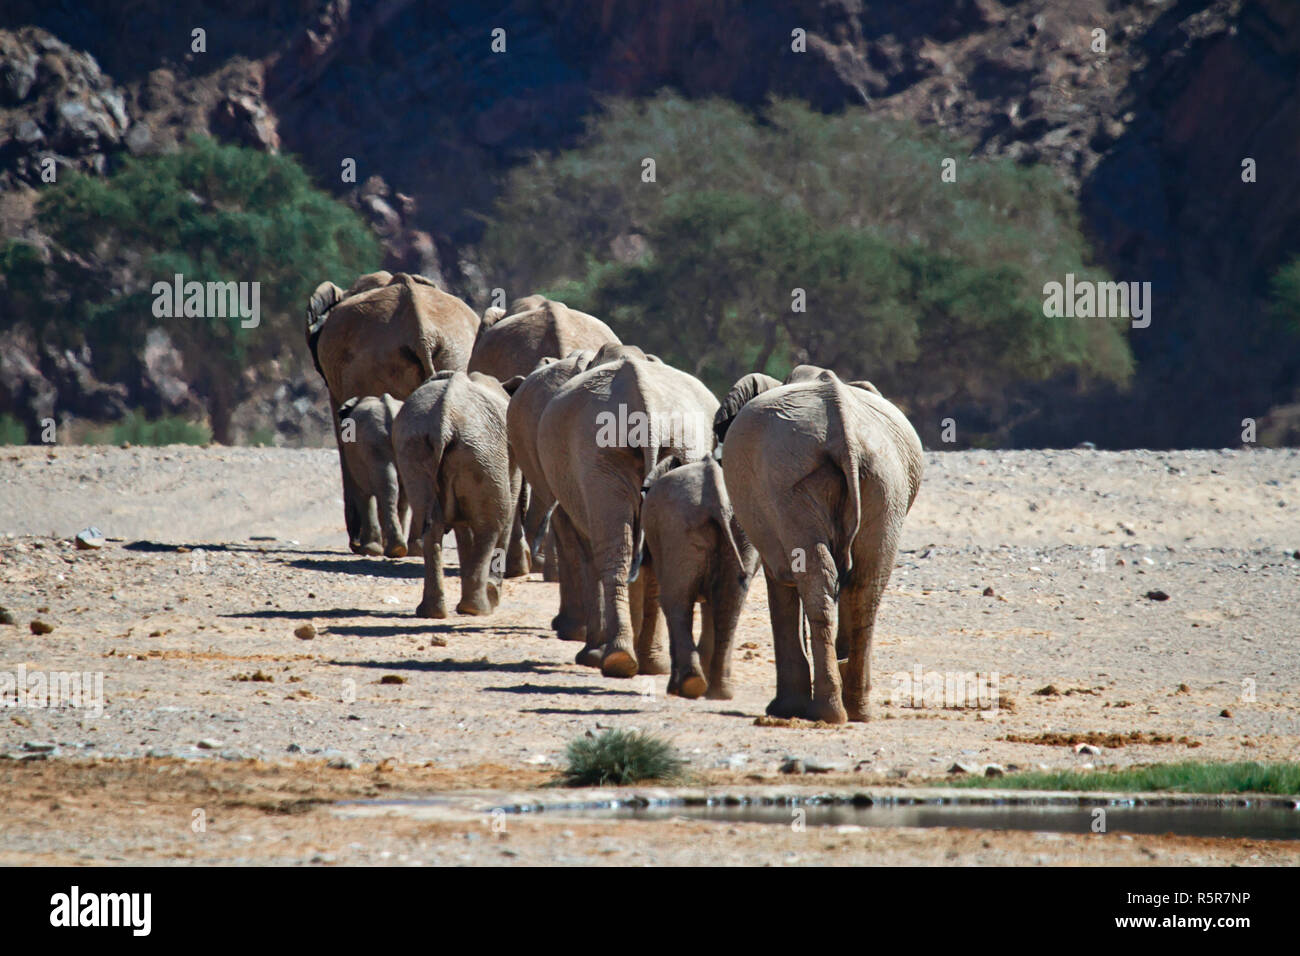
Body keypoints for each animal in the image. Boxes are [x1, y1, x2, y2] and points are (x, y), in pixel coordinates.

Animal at [304, 270, 478, 554]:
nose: (353, 542)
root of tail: (422, 332)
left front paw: (365, 546)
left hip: (374, 365)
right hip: (455, 356)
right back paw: (414, 546)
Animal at [390, 369, 522, 616]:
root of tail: (444, 422)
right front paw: (494, 596)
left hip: (416, 448)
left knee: (430, 521)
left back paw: (433, 612)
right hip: (481, 453)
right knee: (493, 522)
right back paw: (479, 608)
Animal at [538, 348, 722, 676]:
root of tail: (645, 405)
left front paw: (591, 656)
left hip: (601, 450)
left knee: (613, 550)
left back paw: (617, 660)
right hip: (651, 449)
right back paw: (638, 661)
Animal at [722, 366, 925, 723]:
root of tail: (844, 434)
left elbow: (781, 583)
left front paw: (784, 709)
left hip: (789, 484)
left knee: (820, 582)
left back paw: (828, 713)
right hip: (885, 482)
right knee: (866, 585)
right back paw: (857, 711)